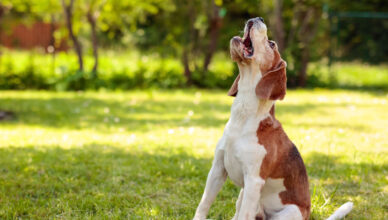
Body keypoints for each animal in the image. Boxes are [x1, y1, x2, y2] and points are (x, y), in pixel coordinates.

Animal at [192, 17, 354, 220]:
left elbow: (243, 213)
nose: (258, 18)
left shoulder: (253, 181)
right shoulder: (217, 169)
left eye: (271, 44)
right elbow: (203, 205)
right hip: (242, 195)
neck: (243, 116)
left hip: (285, 211)